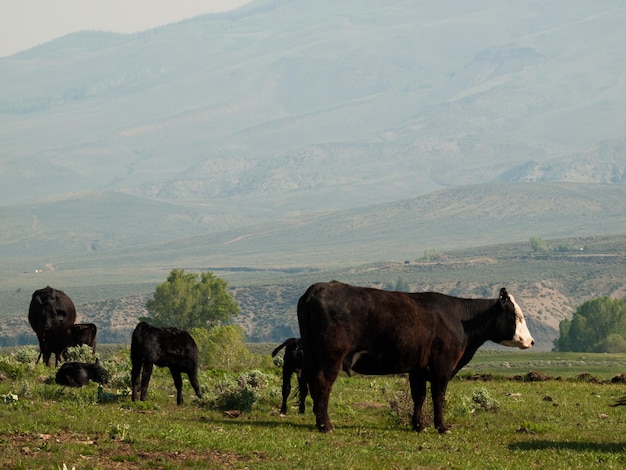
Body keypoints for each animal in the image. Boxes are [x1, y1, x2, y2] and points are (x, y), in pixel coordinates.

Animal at [298, 282, 532, 434]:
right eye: (517, 317)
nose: (531, 341)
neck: (461, 320)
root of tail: (317, 288)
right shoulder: (442, 366)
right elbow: (438, 396)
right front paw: (442, 427)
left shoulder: (417, 368)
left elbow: (418, 397)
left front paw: (419, 425)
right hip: (331, 357)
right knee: (322, 384)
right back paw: (325, 425)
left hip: (311, 354)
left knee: (310, 382)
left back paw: (318, 421)